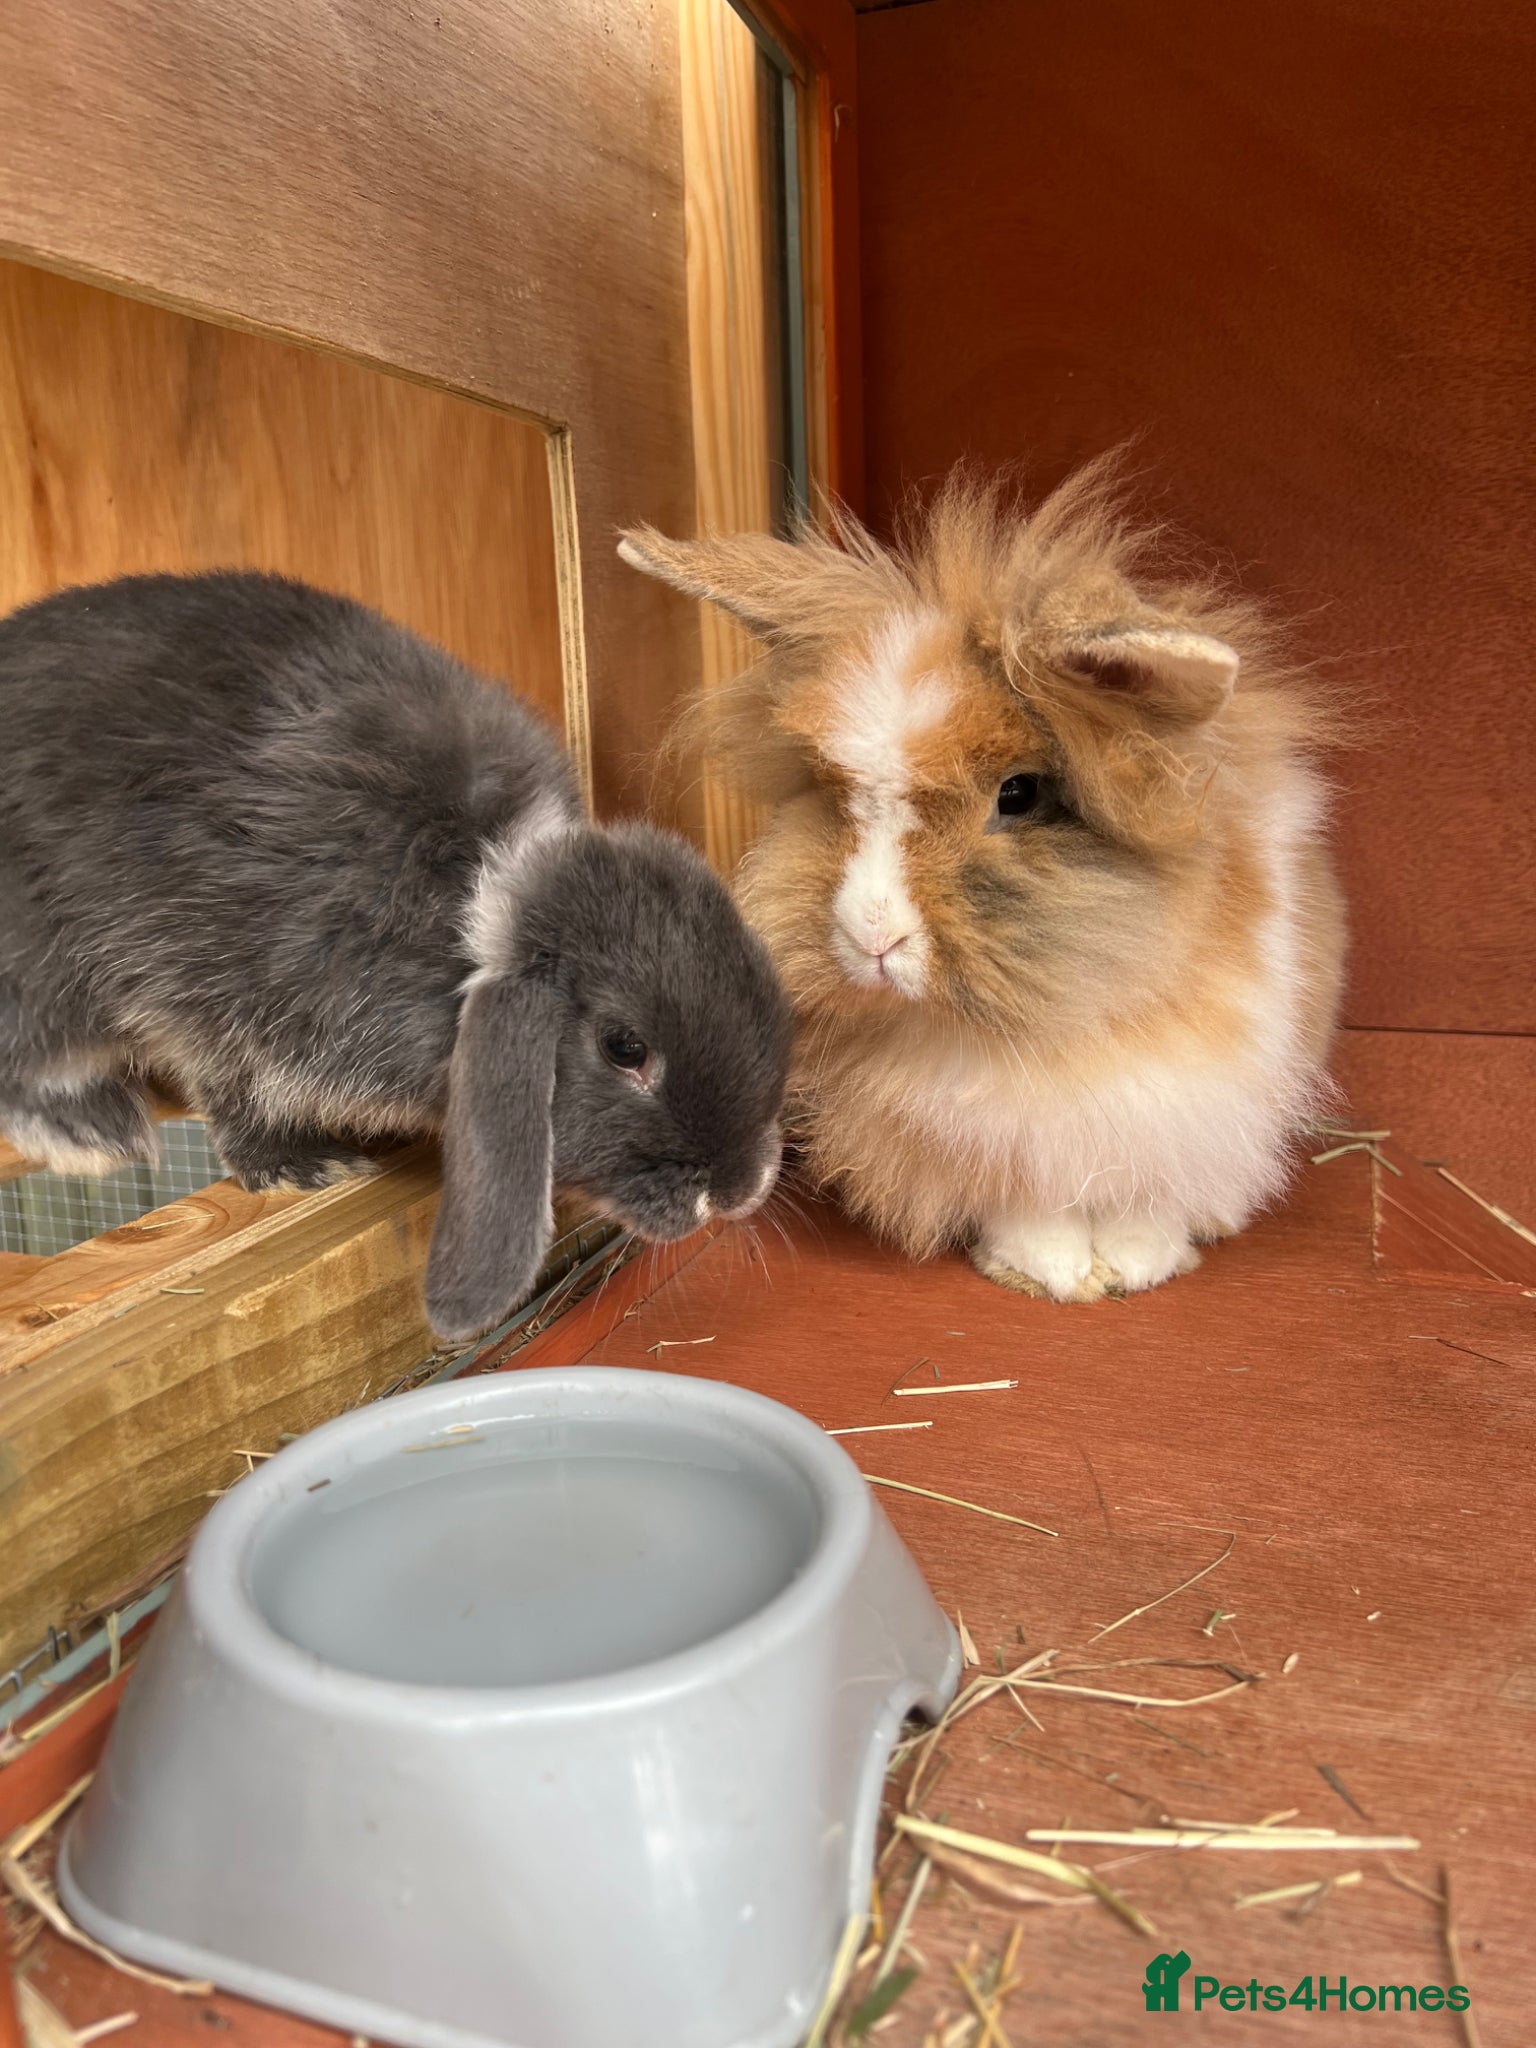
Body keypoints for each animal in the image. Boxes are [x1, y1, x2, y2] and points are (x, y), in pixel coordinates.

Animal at [0, 570, 791, 1341]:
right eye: (625, 1048)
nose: (740, 1190)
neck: (466, 904)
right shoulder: (211, 980)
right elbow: (231, 1085)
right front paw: (299, 1167)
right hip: (39, 968)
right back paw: (93, 1131)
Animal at [619, 458, 1347, 1302]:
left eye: (1019, 794)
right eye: (835, 794)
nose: (871, 935)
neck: (1043, 1032)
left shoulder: (1188, 1106)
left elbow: (1146, 1197)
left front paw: (1137, 1265)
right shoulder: (998, 1138)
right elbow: (1030, 1202)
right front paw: (1050, 1272)